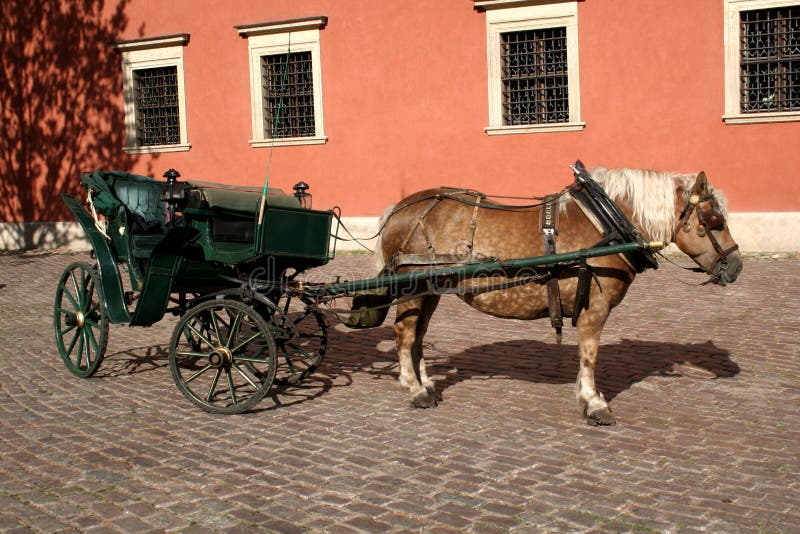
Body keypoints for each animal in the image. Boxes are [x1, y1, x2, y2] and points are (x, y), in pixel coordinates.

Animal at [375, 167, 742, 425]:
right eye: (714, 220)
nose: (736, 265)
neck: (604, 226)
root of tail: (400, 208)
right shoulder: (595, 307)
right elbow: (590, 354)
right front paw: (594, 403)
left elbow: (585, 356)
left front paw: (586, 394)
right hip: (413, 288)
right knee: (405, 334)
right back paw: (415, 389)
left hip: (431, 288)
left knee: (419, 335)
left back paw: (427, 384)